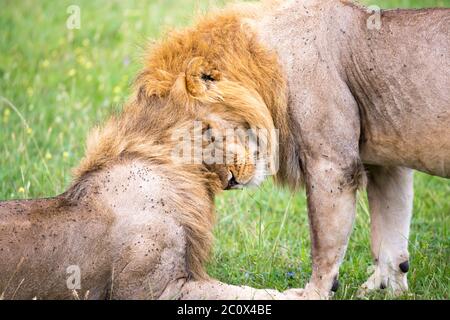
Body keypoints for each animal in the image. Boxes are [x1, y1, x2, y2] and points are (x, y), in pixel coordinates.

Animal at [129, 0, 446, 298]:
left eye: (206, 131)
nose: (230, 181)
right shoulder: (387, 162)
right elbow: (391, 234)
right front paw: (387, 290)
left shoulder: (333, 163)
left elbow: (325, 244)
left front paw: (314, 292)